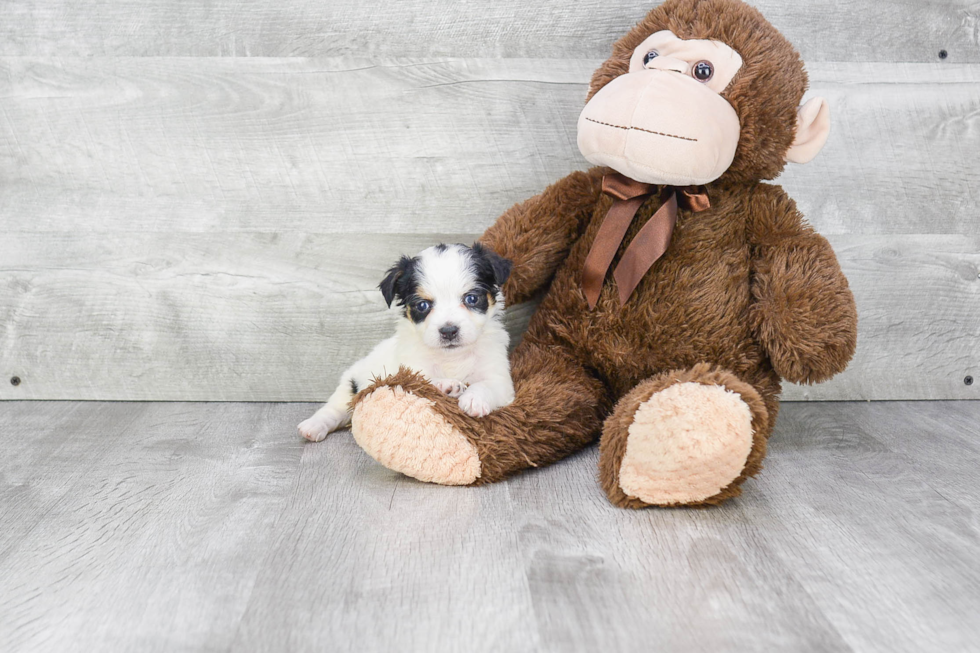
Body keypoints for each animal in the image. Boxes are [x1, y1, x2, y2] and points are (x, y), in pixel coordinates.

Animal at [296, 242, 512, 440]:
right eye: (423, 305)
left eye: (472, 299)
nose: (448, 331)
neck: (451, 357)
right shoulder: (409, 370)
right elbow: (422, 380)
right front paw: (446, 385)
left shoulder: (499, 379)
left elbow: (486, 385)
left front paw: (474, 399)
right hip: (348, 388)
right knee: (332, 410)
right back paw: (313, 426)